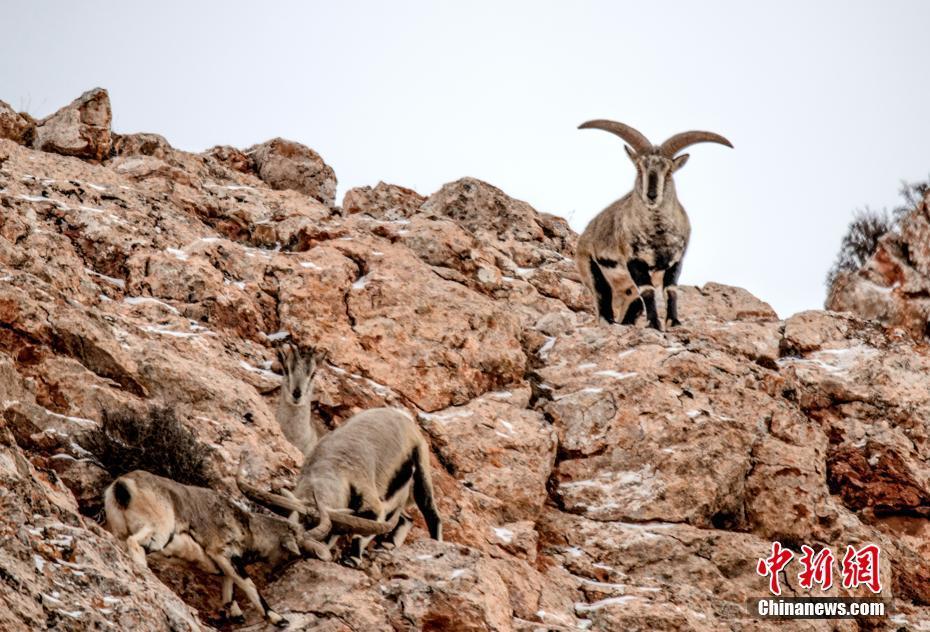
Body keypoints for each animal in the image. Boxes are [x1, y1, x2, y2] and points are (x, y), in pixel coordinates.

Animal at [572, 117, 732, 330]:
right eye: (640, 167)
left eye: (669, 170)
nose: (651, 195)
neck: (658, 235)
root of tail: (584, 237)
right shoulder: (634, 261)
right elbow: (647, 290)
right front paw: (654, 324)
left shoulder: (675, 261)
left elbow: (670, 290)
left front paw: (674, 322)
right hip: (593, 273)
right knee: (603, 303)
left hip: (628, 292)